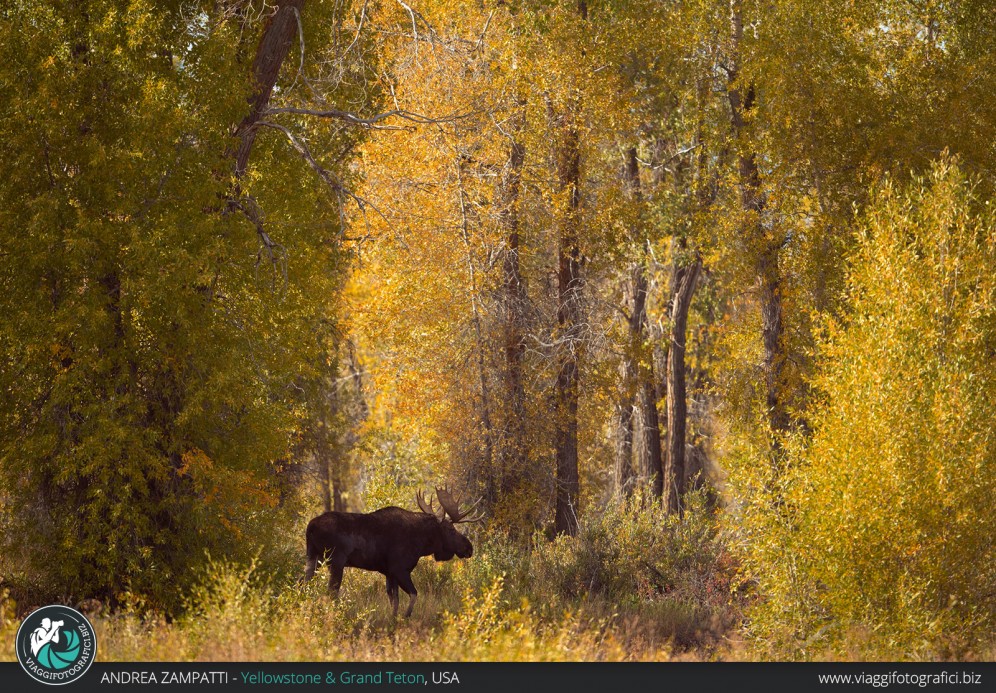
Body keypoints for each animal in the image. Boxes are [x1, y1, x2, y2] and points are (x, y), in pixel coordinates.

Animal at [304, 486, 482, 616]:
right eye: (451, 530)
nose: (469, 547)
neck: (422, 543)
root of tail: (310, 526)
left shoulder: (389, 573)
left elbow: (394, 601)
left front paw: (393, 620)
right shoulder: (399, 569)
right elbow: (413, 594)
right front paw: (405, 617)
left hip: (313, 557)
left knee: (303, 584)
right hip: (335, 561)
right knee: (331, 592)